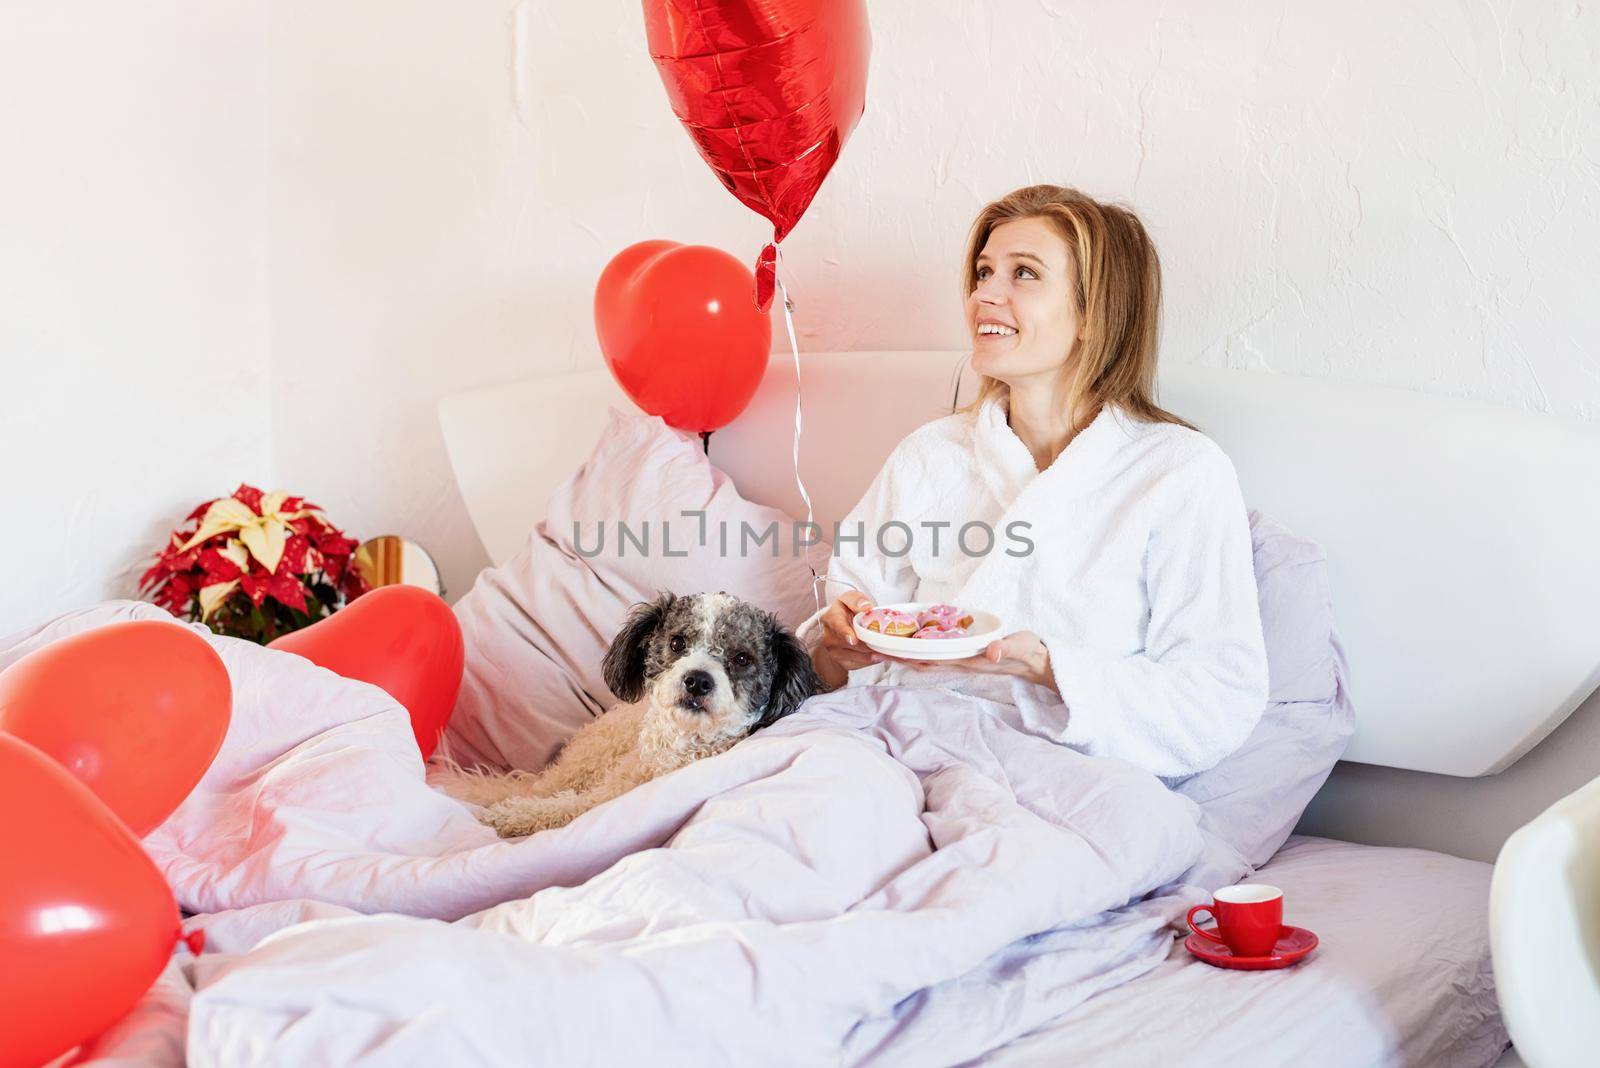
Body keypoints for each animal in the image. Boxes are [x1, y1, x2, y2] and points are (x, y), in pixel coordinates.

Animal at [451, 588, 825, 837]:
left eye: (742, 658)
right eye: (677, 642)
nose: (697, 680)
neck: (677, 751)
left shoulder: (598, 802)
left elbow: (564, 809)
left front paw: (508, 818)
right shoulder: (609, 789)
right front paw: (507, 815)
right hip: (584, 762)